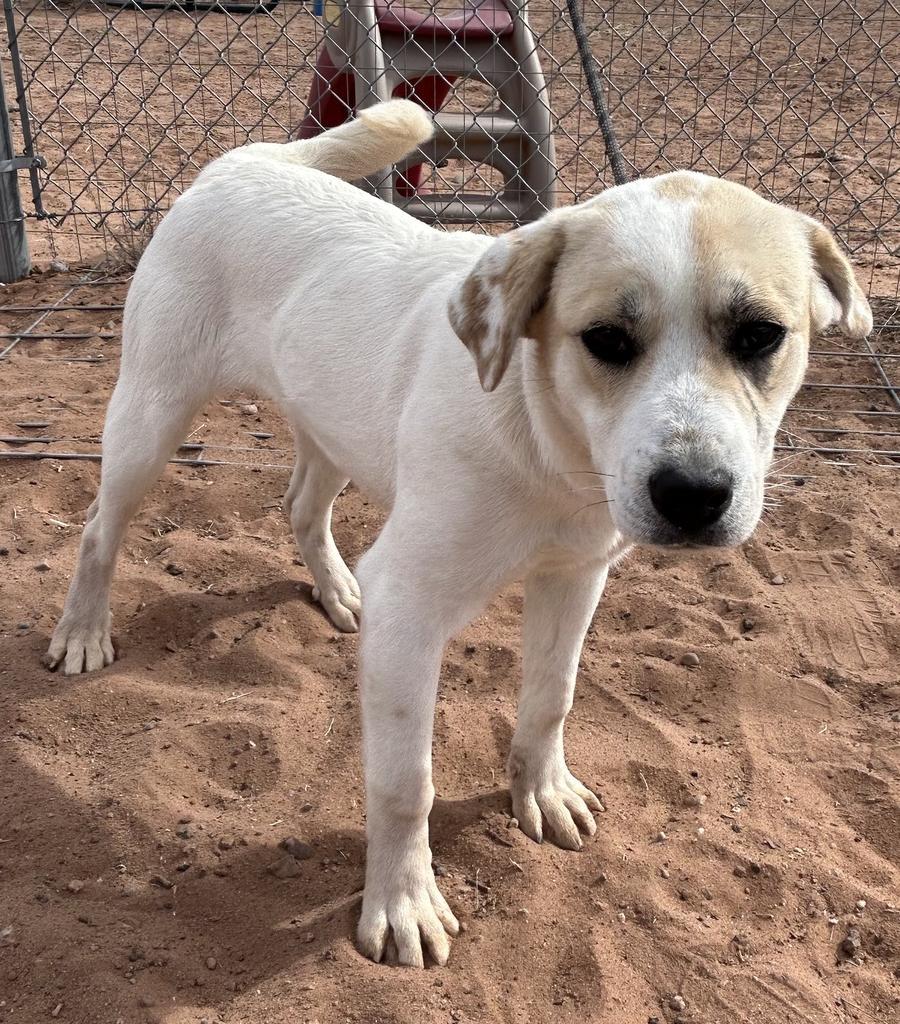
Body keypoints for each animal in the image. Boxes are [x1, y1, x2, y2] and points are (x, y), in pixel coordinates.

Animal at [44, 101, 872, 966]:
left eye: (760, 336)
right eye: (607, 340)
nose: (694, 495)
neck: (547, 450)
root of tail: (243, 162)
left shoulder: (575, 575)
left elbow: (550, 698)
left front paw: (542, 792)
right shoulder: (412, 607)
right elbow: (405, 784)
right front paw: (402, 903)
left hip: (333, 426)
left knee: (301, 504)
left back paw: (338, 591)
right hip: (151, 416)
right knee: (99, 529)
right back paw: (83, 633)